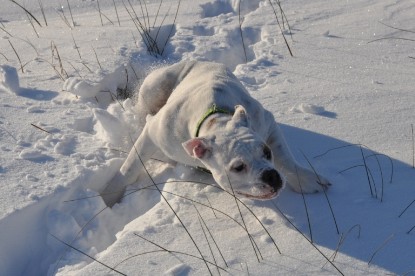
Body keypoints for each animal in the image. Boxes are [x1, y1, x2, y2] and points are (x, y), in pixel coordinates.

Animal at [101, 61, 332, 207]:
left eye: (267, 153)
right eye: (238, 167)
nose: (271, 175)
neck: (217, 121)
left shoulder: (267, 123)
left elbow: (286, 158)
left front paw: (306, 179)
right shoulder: (152, 135)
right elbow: (129, 167)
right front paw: (108, 196)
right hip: (155, 87)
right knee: (144, 112)